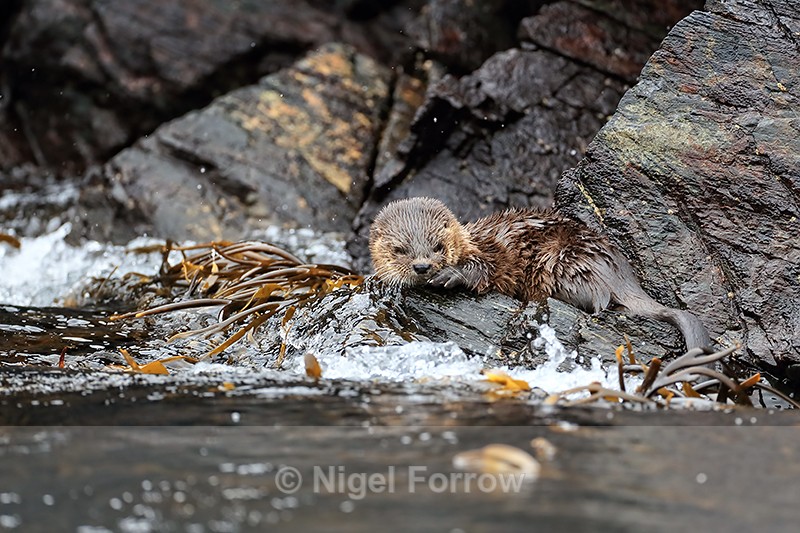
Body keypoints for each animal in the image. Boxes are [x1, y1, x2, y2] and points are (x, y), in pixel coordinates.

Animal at [369, 197, 711, 351]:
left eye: (438, 246)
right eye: (400, 250)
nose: (423, 266)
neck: (469, 242)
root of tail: (619, 272)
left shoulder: (489, 253)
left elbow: (482, 270)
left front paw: (449, 275)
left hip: (562, 260)